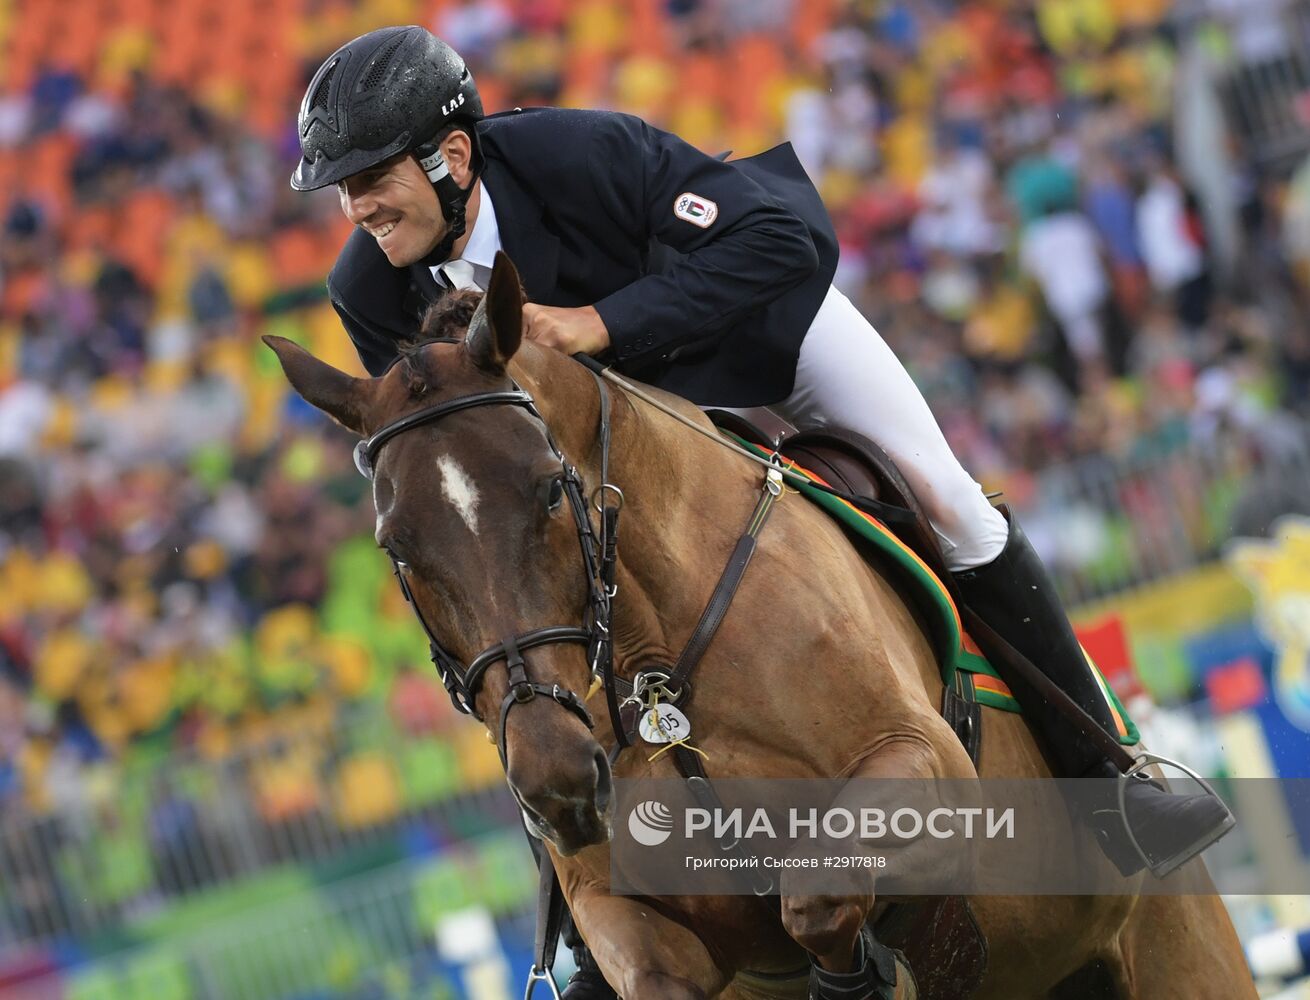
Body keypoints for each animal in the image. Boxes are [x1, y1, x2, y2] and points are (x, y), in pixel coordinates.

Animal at [268, 255, 1257, 1000]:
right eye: (395, 548)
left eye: (551, 490)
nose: (558, 783)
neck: (653, 660)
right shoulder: (627, 914)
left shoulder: (926, 766)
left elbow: (819, 893)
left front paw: (859, 972)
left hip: (1178, 955)